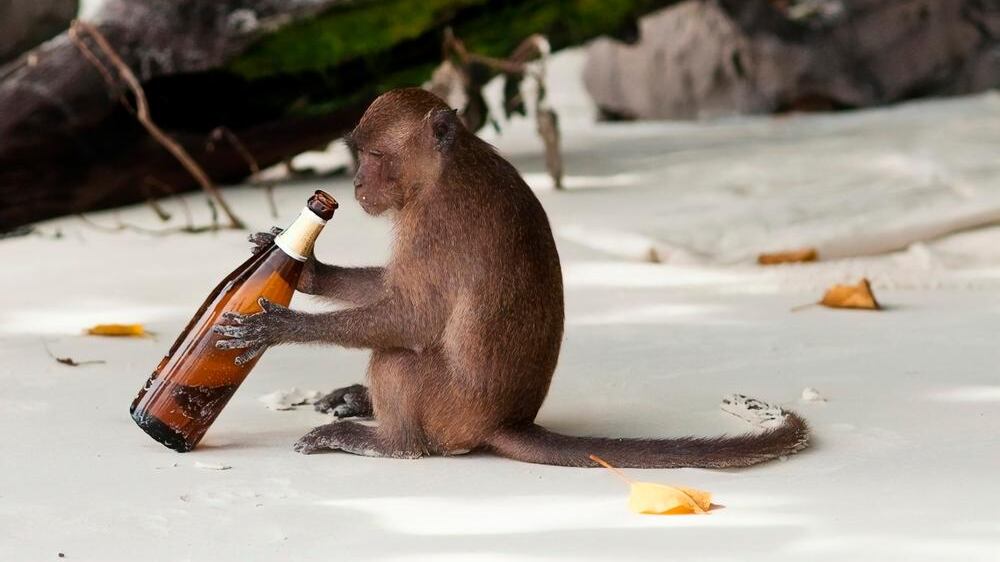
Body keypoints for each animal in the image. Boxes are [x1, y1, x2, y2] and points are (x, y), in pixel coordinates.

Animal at [213, 88, 809, 468]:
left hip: (450, 409)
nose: (356, 184)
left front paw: (281, 326)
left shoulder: (436, 222)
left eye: (374, 156)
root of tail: (504, 421)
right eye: (357, 155)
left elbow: (413, 318)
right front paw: (306, 270)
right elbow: (394, 296)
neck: (446, 168)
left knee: (397, 359)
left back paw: (389, 441)